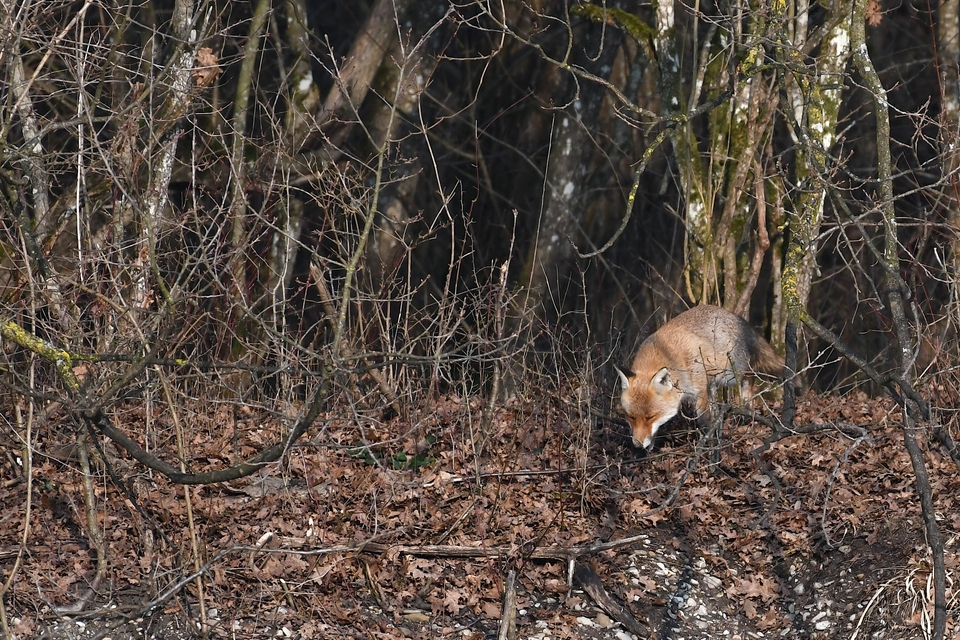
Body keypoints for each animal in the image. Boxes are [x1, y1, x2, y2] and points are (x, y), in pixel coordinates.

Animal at [620, 306, 784, 448]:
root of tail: (734, 316)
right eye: (631, 417)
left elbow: (705, 422)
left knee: (750, 379)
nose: (637, 445)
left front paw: (708, 445)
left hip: (732, 373)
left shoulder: (700, 392)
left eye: (650, 417)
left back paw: (746, 410)